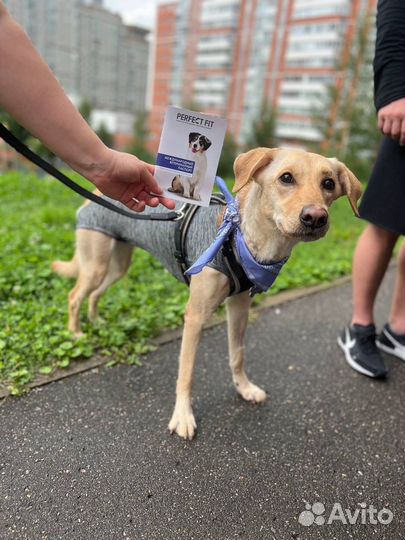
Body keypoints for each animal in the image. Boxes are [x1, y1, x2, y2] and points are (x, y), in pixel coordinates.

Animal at [52, 148, 360, 438]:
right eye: (286, 178)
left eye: (329, 183)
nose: (316, 217)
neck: (240, 235)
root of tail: (92, 195)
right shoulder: (196, 316)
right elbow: (186, 373)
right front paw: (183, 417)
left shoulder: (239, 307)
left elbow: (237, 354)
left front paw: (244, 388)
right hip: (97, 264)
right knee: (74, 296)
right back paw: (76, 333)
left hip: (117, 266)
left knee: (94, 295)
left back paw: (96, 322)